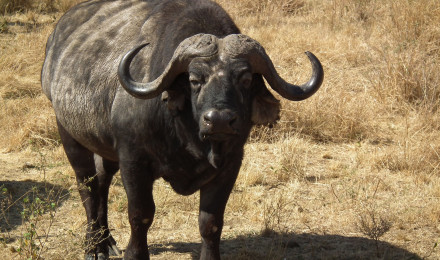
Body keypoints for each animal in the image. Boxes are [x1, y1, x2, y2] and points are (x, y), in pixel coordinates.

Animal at [41, 0, 324, 258]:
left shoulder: (230, 164)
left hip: (105, 148)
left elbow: (211, 222)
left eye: (244, 79)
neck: (187, 136)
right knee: (87, 188)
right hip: (69, 135)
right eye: (194, 79)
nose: (219, 120)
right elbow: (140, 215)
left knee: (101, 181)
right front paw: (135, 253)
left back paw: (106, 241)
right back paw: (94, 248)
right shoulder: (133, 160)